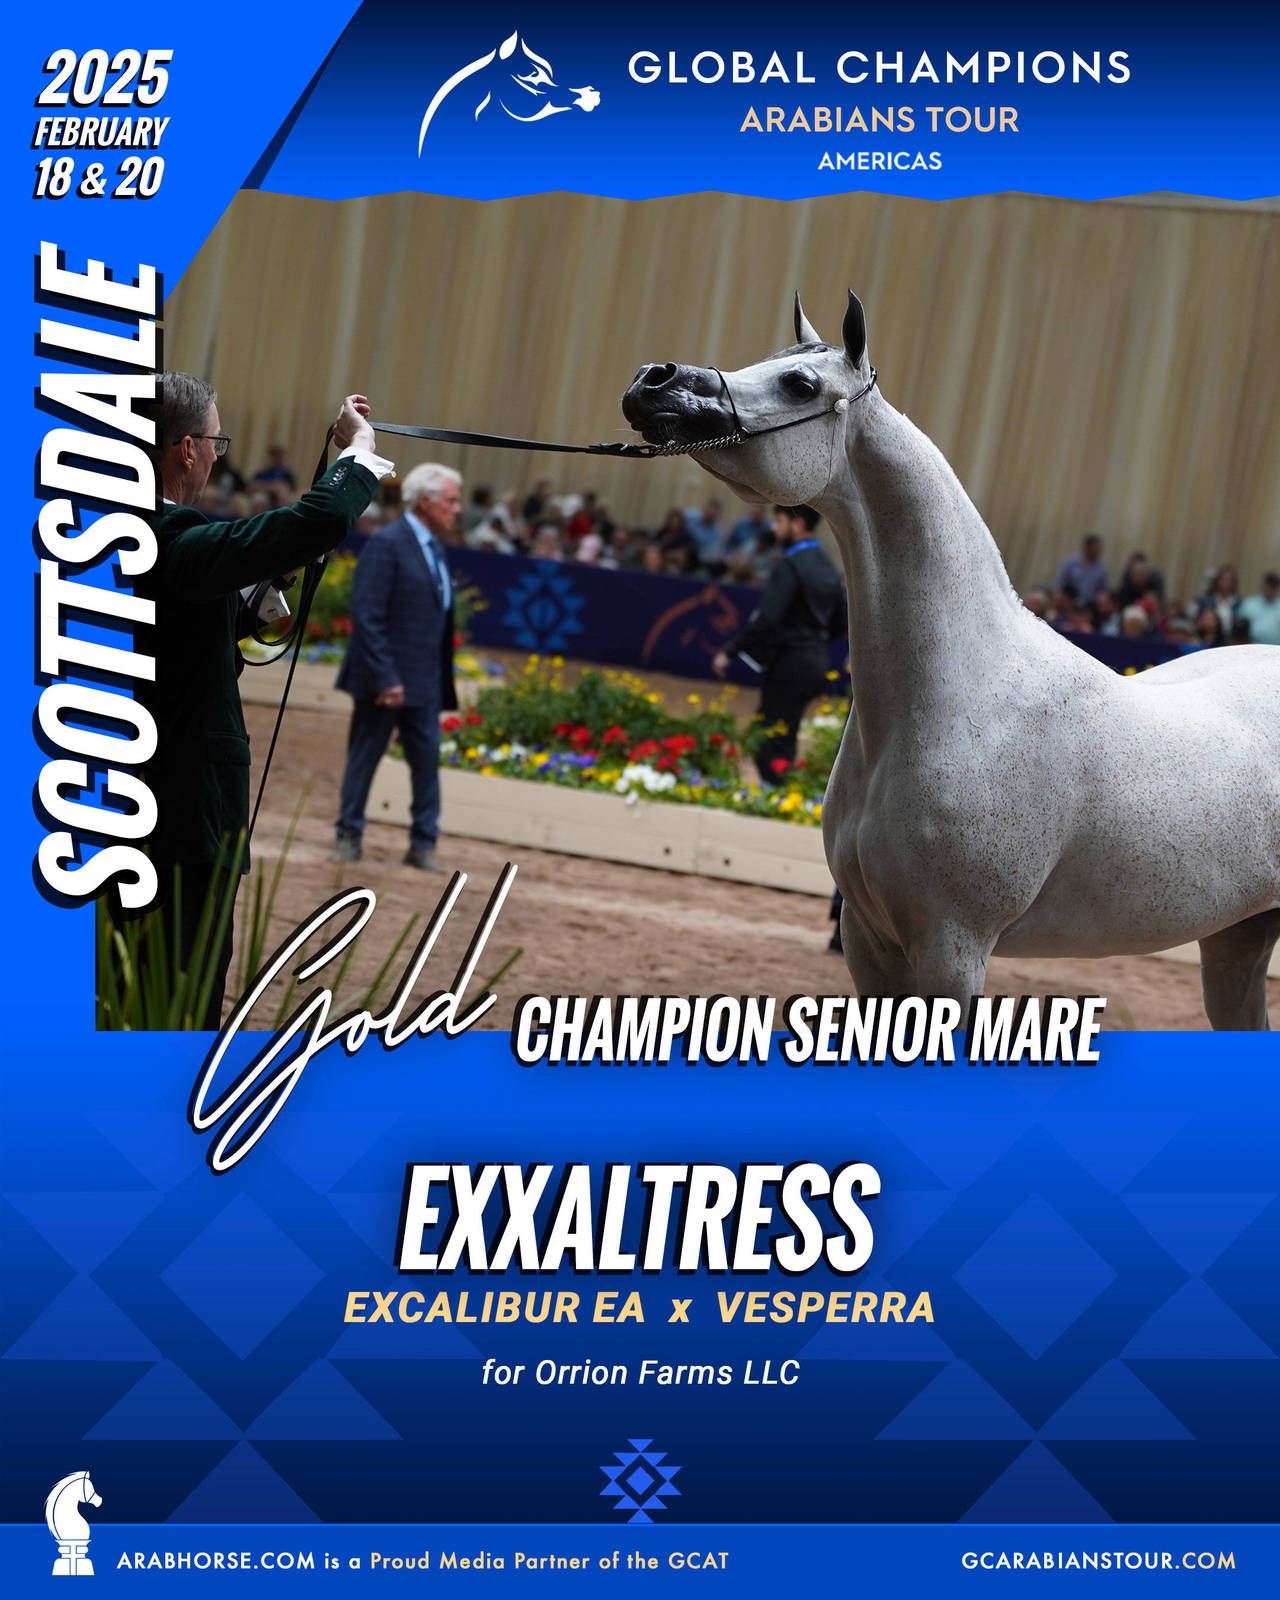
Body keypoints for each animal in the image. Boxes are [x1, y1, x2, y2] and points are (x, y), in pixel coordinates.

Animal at [621, 293, 1280, 1027]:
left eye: (800, 384)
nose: (654, 379)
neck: (964, 695)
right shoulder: (868, 939)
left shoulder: (952, 948)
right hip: (1237, 936)